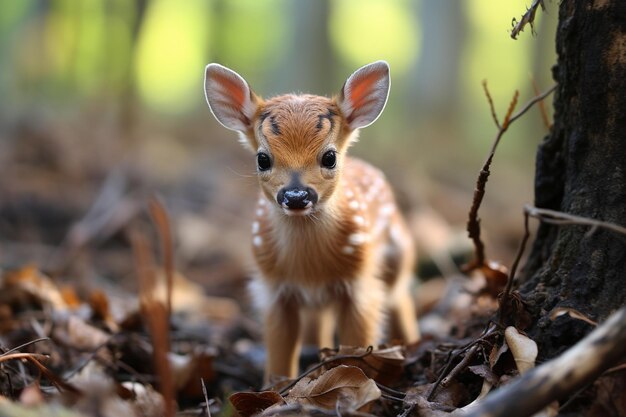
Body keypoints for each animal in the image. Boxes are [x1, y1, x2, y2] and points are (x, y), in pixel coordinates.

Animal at [205, 61, 416, 380]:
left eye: (329, 157)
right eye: (262, 159)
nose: (296, 195)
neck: (310, 267)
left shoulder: (360, 282)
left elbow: (358, 342)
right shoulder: (273, 289)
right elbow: (280, 354)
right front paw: (276, 386)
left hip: (399, 255)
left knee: (401, 295)